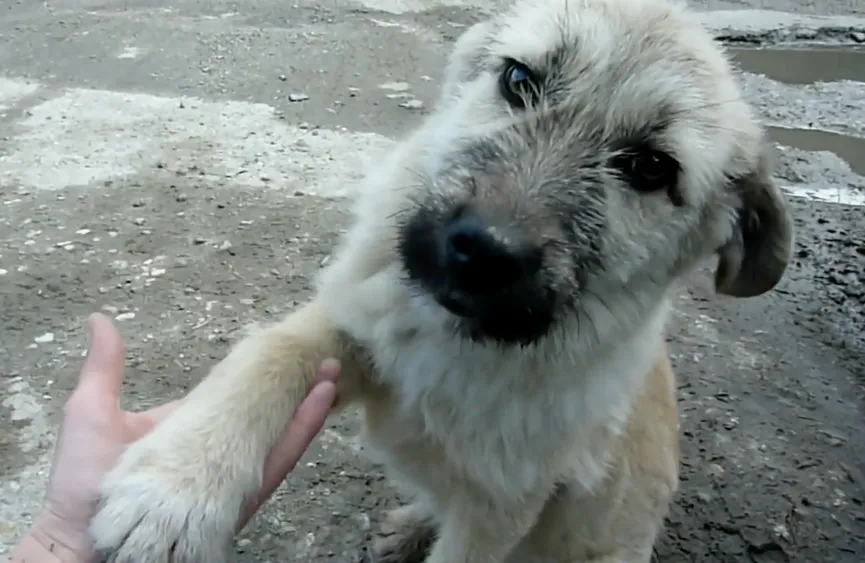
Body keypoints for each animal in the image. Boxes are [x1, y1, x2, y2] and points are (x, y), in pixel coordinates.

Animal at [86, 0, 788, 560]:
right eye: (519, 79)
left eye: (650, 168)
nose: (484, 251)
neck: (457, 345)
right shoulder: (351, 327)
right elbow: (265, 355)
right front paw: (172, 494)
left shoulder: (502, 507)